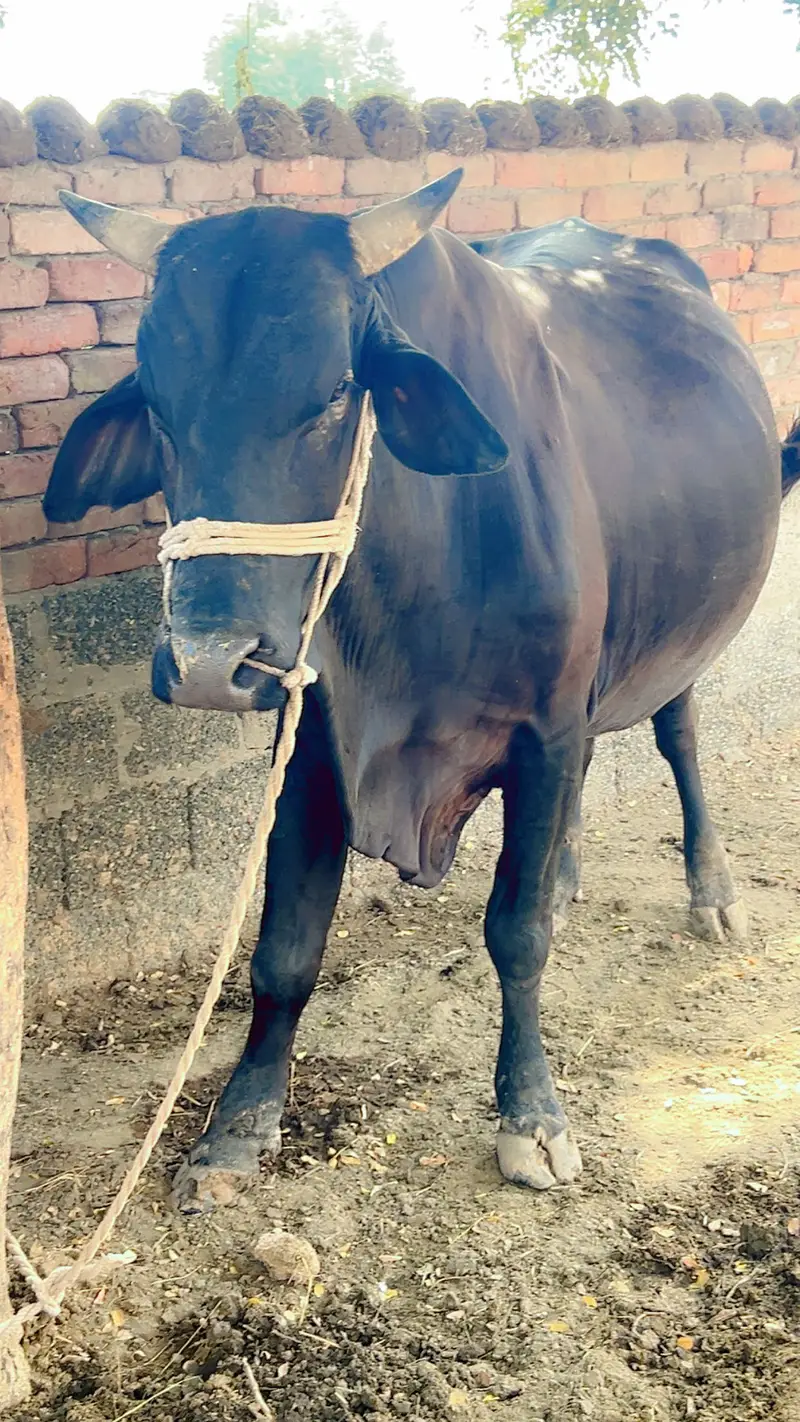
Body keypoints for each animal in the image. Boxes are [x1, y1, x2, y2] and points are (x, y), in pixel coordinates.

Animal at [44, 171, 799, 1212]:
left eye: (333, 392)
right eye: (156, 401)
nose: (206, 665)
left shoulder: (543, 729)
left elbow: (515, 934)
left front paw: (532, 1114)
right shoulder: (312, 739)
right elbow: (284, 951)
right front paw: (236, 1128)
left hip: (676, 635)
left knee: (676, 736)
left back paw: (711, 890)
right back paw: (570, 878)